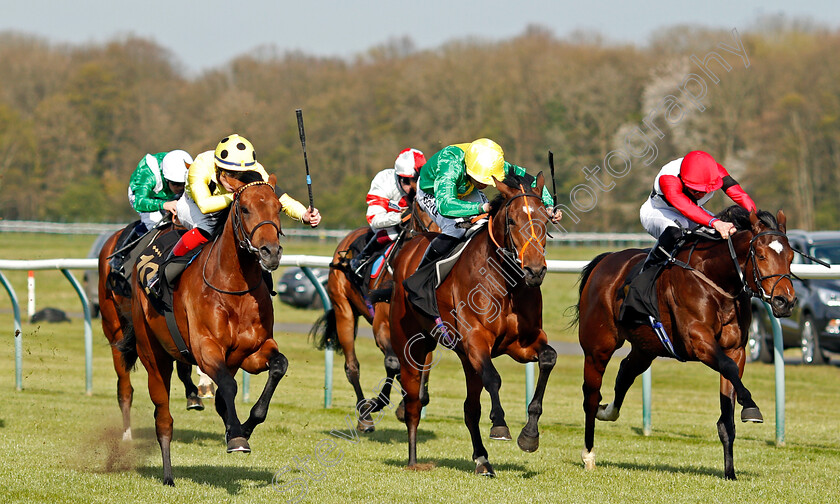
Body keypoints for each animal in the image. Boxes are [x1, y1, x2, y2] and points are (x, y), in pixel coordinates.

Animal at [122, 173, 288, 484]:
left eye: (278, 208)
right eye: (244, 209)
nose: (270, 252)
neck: (234, 287)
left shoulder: (253, 351)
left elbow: (278, 366)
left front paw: (244, 428)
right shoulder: (205, 349)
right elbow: (228, 386)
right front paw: (237, 438)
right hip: (153, 357)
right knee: (163, 418)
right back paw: (168, 475)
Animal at [312, 199, 436, 432]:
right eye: (423, 210)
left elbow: (418, 368)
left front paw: (407, 404)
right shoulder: (382, 325)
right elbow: (394, 364)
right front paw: (376, 404)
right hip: (344, 311)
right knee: (352, 366)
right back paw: (364, 416)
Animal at [388, 173, 556, 476]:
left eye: (545, 219)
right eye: (511, 220)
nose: (535, 271)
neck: (504, 282)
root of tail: (411, 245)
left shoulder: (521, 343)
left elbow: (548, 358)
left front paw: (529, 435)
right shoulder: (476, 340)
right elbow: (495, 378)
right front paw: (500, 425)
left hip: (467, 359)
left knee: (470, 409)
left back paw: (482, 460)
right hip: (412, 347)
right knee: (413, 402)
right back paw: (413, 459)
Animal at [576, 208, 796, 480]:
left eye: (791, 256)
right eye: (762, 256)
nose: (785, 301)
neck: (716, 279)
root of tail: (605, 261)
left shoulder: (736, 350)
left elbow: (727, 414)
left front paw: (730, 473)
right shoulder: (698, 342)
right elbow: (729, 369)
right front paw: (751, 406)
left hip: (645, 347)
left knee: (625, 373)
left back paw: (607, 412)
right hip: (598, 347)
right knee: (590, 395)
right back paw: (588, 454)